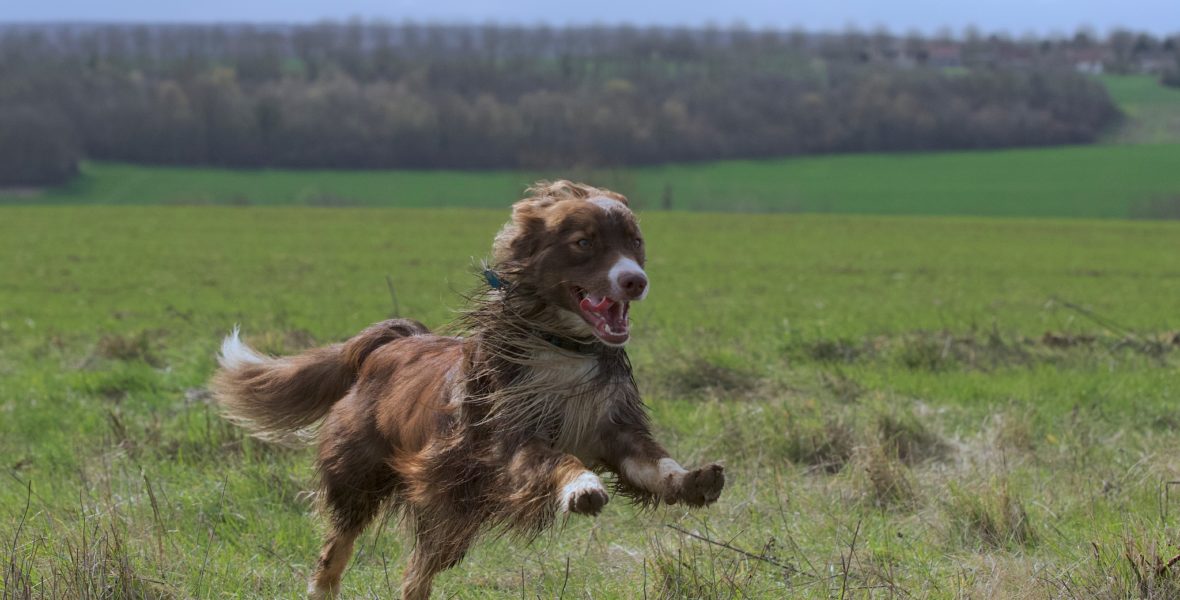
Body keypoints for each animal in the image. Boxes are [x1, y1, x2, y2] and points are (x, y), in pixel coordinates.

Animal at [214, 180, 726, 597]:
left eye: (635, 242)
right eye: (584, 243)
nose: (635, 281)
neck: (561, 347)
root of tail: (390, 342)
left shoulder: (615, 429)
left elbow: (655, 462)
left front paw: (693, 481)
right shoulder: (511, 442)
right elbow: (559, 459)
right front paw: (583, 487)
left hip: (451, 512)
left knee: (415, 575)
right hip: (361, 480)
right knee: (334, 556)